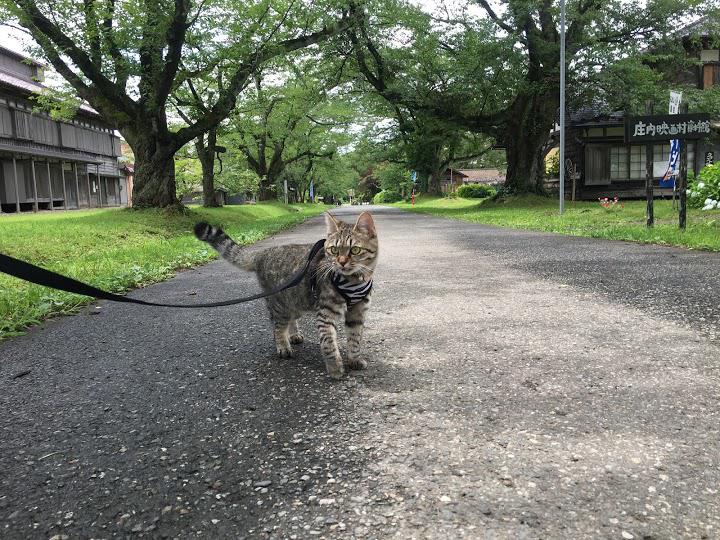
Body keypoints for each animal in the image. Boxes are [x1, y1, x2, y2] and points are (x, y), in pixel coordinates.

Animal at [194, 211, 380, 380]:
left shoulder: (357, 314)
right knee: (277, 327)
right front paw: (335, 368)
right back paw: (283, 346)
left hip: (295, 301)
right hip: (279, 305)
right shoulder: (326, 314)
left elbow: (355, 339)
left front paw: (354, 360)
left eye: (355, 250)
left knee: (291, 319)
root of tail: (262, 253)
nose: (341, 262)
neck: (354, 281)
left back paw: (294, 335)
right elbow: (328, 344)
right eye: (334, 250)